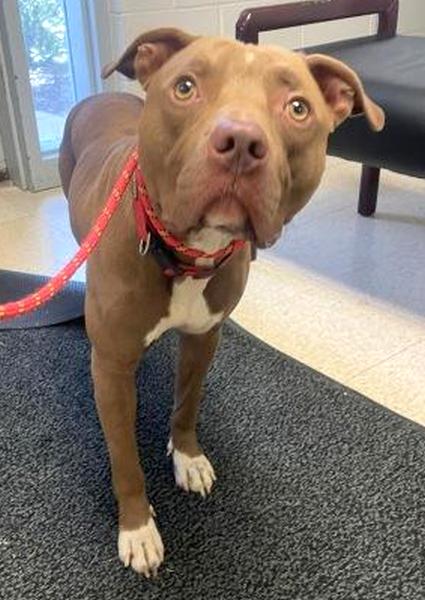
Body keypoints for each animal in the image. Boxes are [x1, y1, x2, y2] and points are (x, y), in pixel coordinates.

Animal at [59, 28, 384, 577]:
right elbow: (125, 459)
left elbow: (187, 403)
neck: (188, 254)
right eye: (185, 87)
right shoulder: (112, 369)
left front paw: (186, 456)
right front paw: (137, 528)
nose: (241, 143)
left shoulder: (204, 338)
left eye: (298, 108)